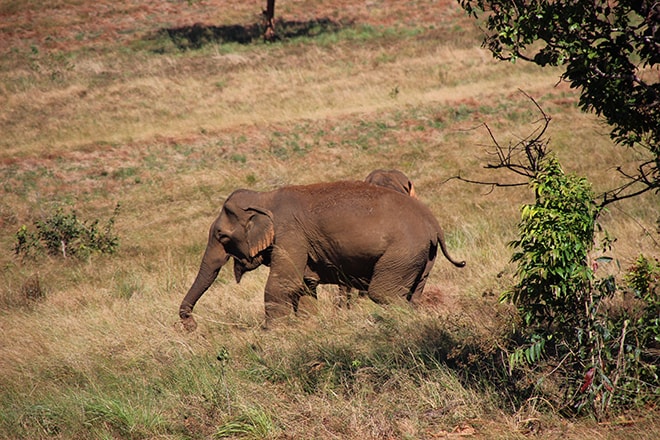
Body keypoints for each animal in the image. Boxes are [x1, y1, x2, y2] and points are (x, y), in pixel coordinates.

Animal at [180, 180, 464, 330]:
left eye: (222, 236)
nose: (191, 325)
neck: (264, 197)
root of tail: (434, 224)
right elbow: (305, 286)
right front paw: (306, 326)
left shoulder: (290, 234)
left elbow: (283, 285)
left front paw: (270, 333)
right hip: (422, 257)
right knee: (413, 294)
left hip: (402, 253)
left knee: (383, 293)